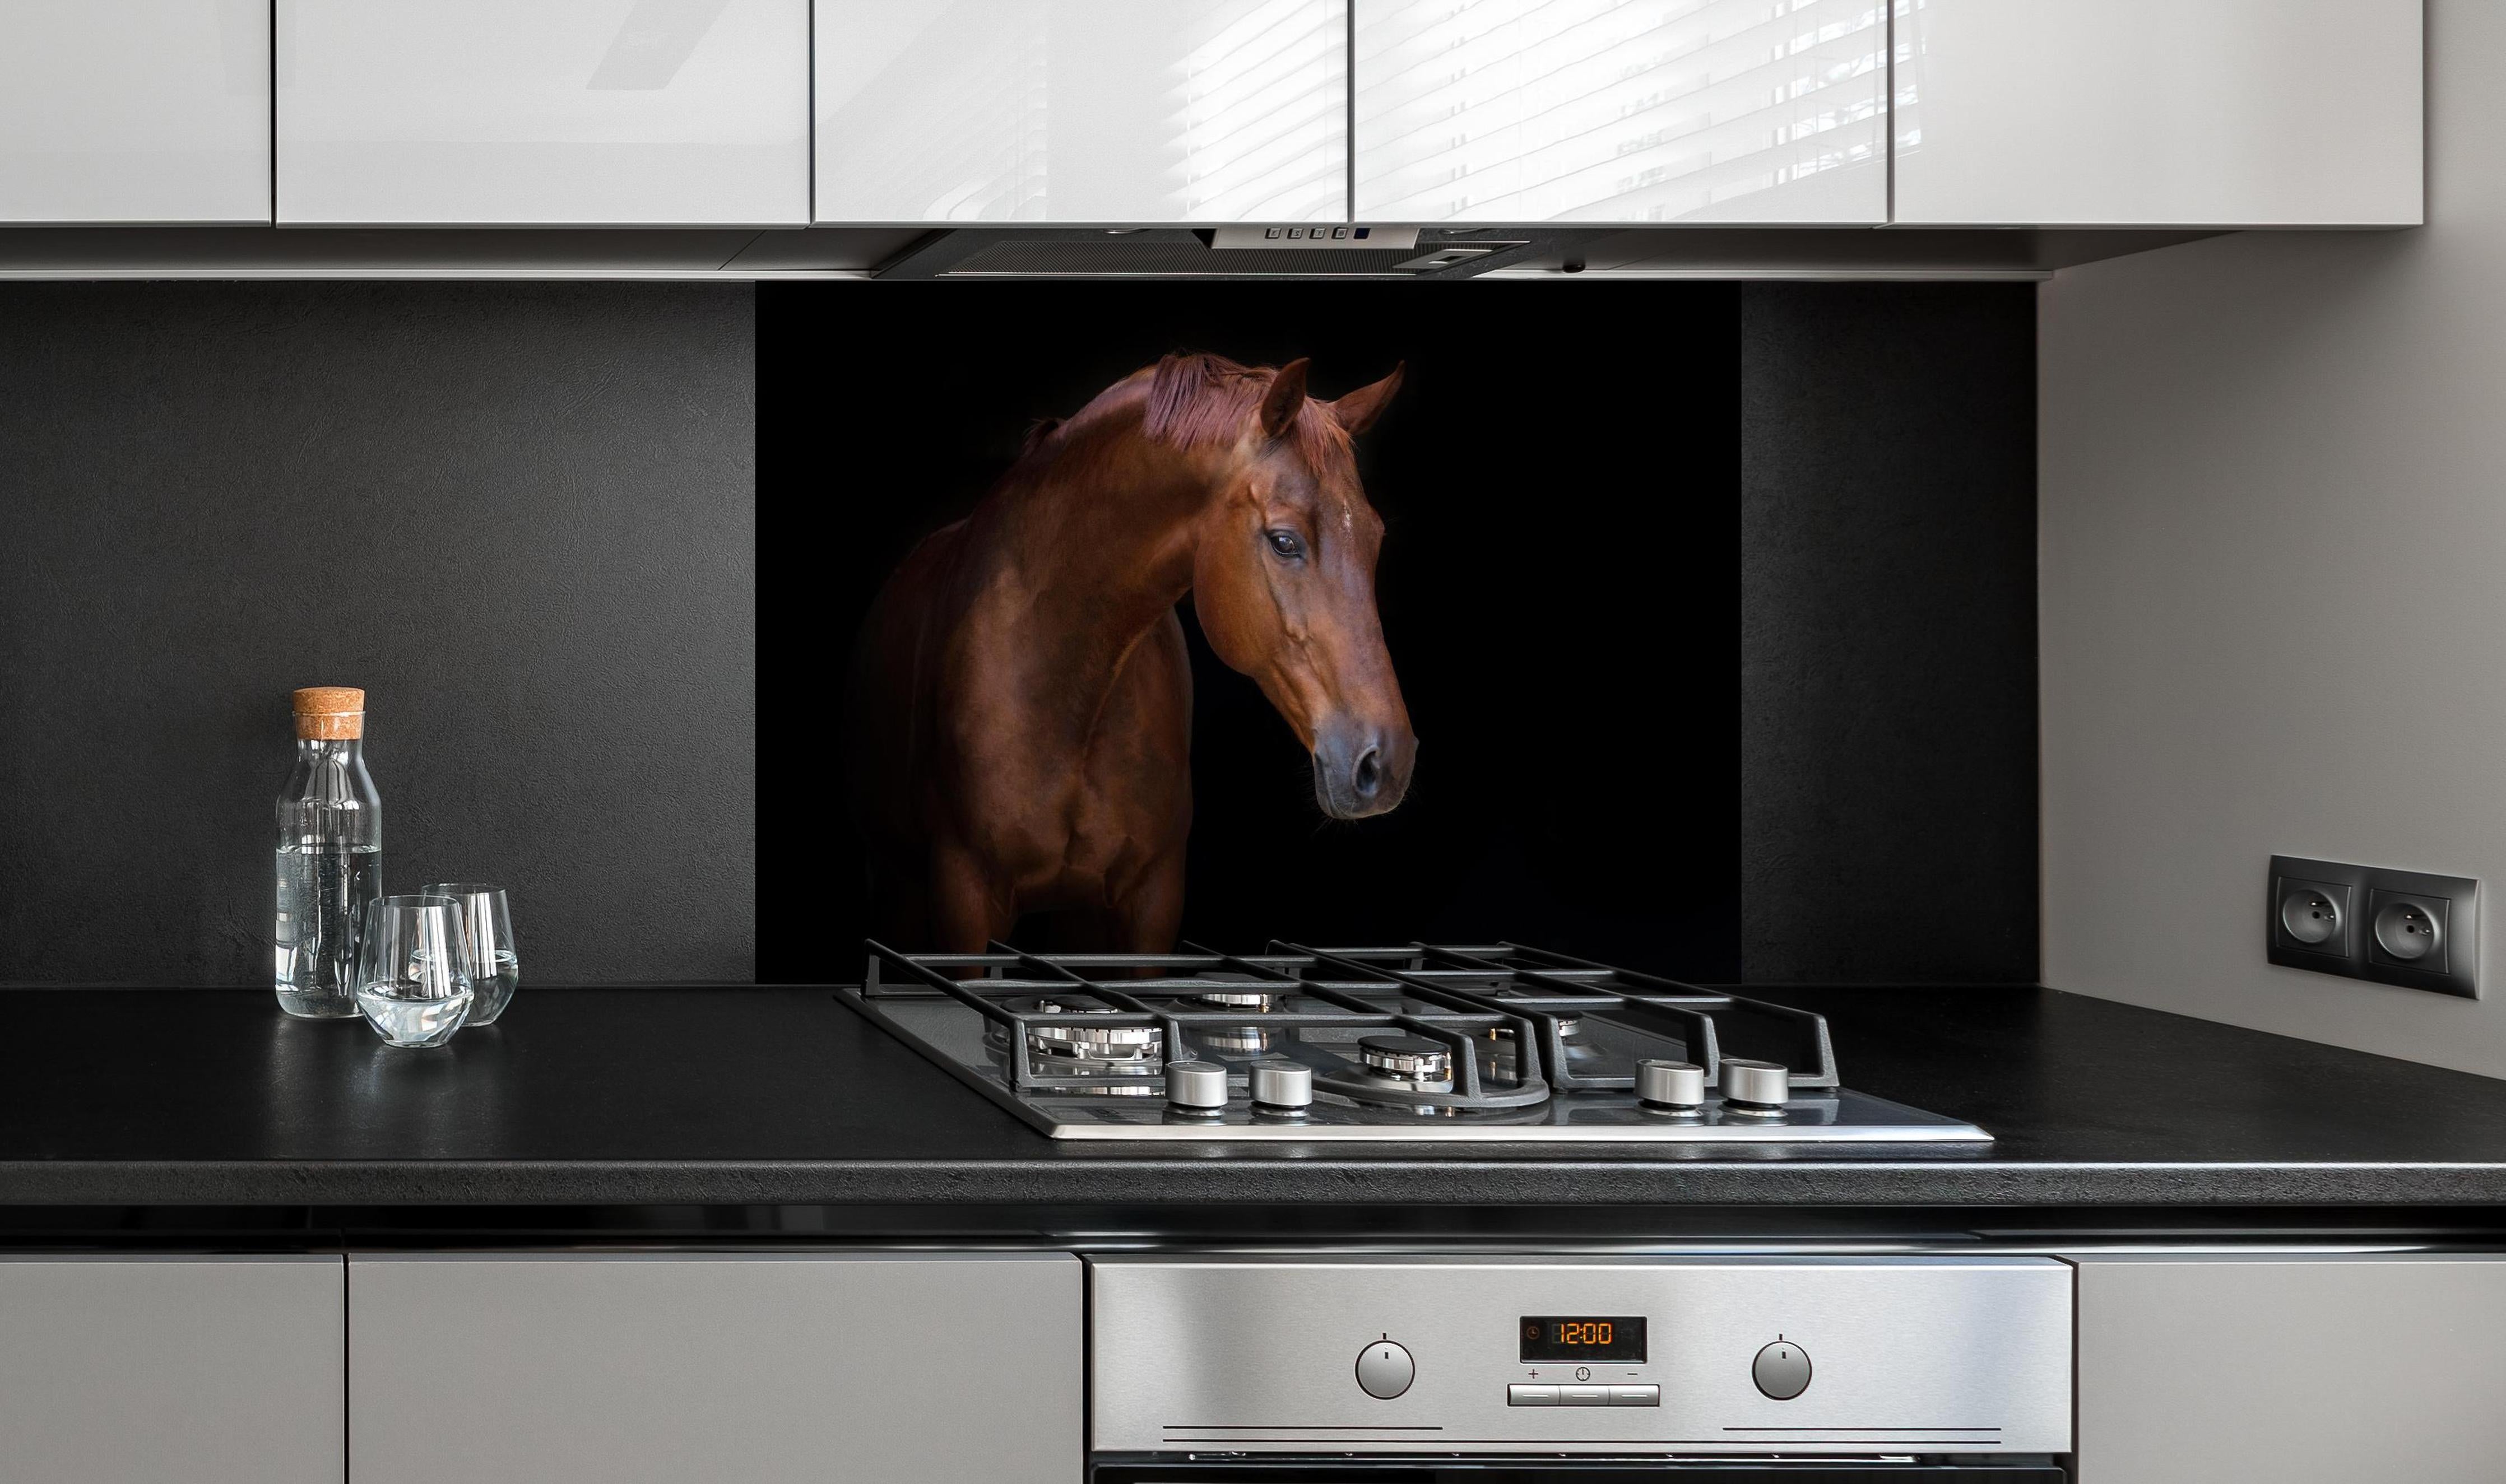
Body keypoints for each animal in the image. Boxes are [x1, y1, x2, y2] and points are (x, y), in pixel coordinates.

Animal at [844, 353, 1416, 956]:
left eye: (1375, 539)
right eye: (1284, 541)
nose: (1388, 761)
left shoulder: (1151, 901)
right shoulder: (963, 898)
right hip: (896, 885)